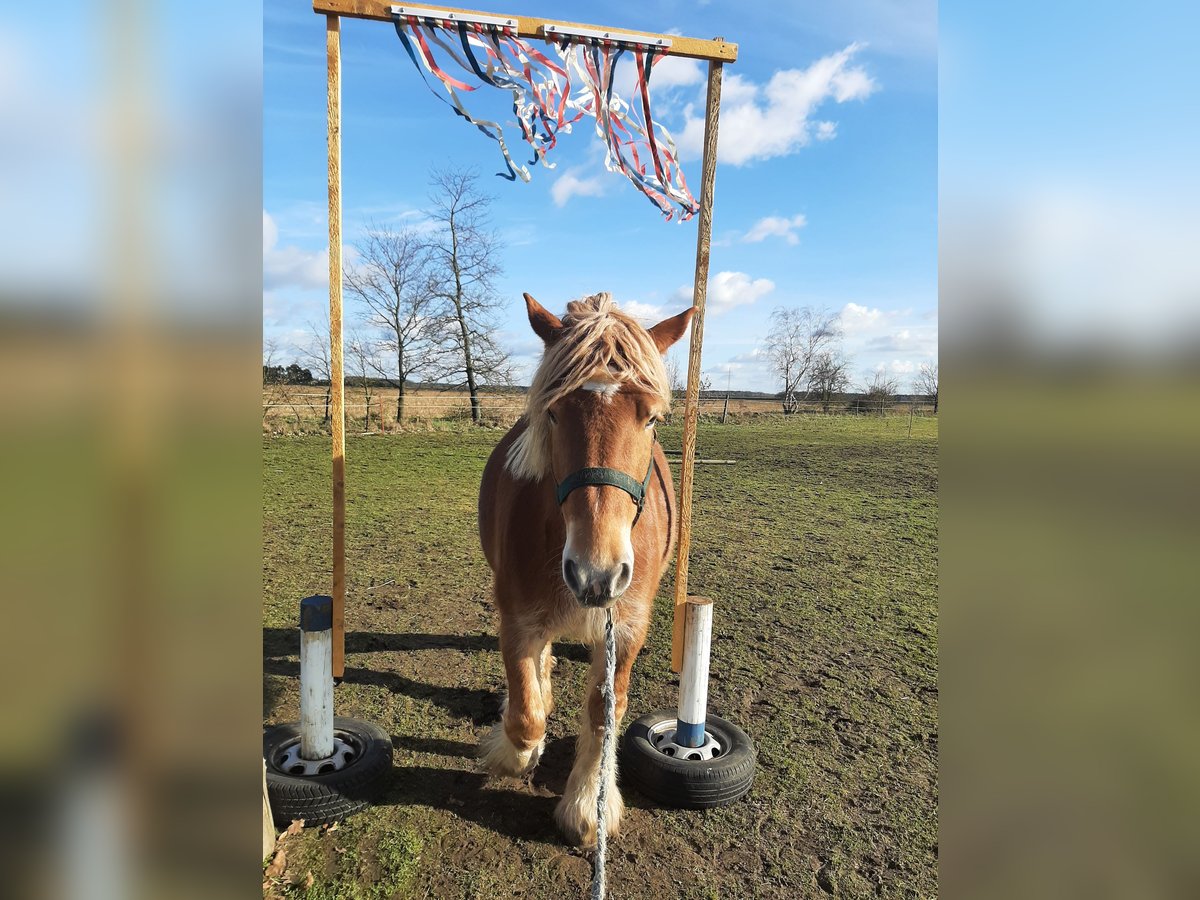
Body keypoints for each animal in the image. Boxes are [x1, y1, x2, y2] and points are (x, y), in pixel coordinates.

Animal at [477, 292, 696, 849]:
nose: (596, 573)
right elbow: (526, 715)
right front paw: (515, 753)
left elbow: (605, 713)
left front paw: (587, 805)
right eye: (554, 413)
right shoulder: (516, 617)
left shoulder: (629, 627)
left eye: (652, 419)